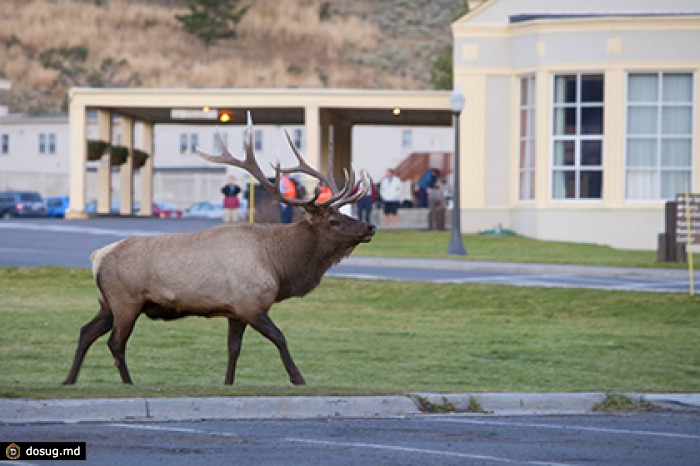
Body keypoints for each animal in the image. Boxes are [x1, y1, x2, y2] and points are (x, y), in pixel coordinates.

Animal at [63, 114, 374, 386]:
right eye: (334, 221)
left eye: (343, 215)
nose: (370, 227)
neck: (278, 265)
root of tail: (96, 257)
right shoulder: (251, 304)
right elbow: (280, 338)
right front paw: (298, 378)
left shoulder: (235, 311)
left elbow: (233, 349)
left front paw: (228, 383)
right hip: (126, 300)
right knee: (115, 343)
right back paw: (128, 383)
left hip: (107, 303)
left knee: (85, 332)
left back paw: (69, 379)